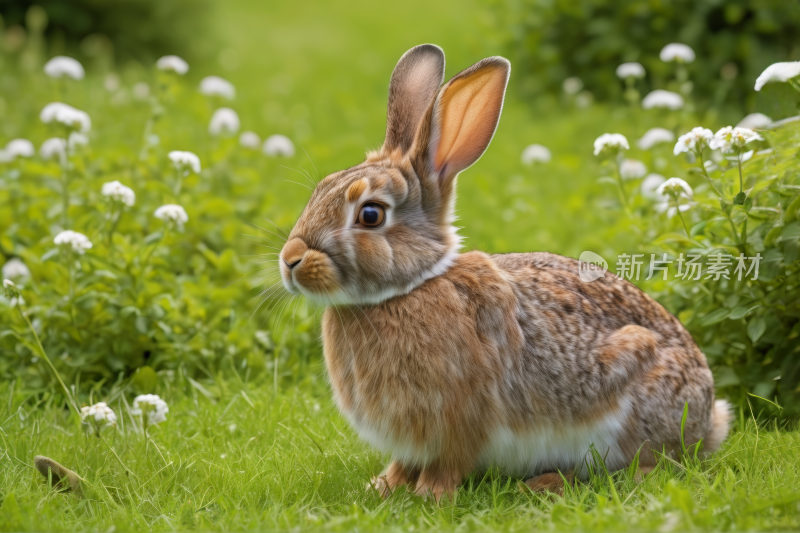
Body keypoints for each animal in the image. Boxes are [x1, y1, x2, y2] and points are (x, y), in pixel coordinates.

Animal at [280, 43, 732, 500]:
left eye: (371, 214)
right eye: (322, 188)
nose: (290, 260)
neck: (408, 288)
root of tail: (708, 418)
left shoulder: (460, 421)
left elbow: (448, 464)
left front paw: (430, 497)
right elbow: (403, 464)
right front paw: (382, 486)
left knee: (640, 468)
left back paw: (547, 482)